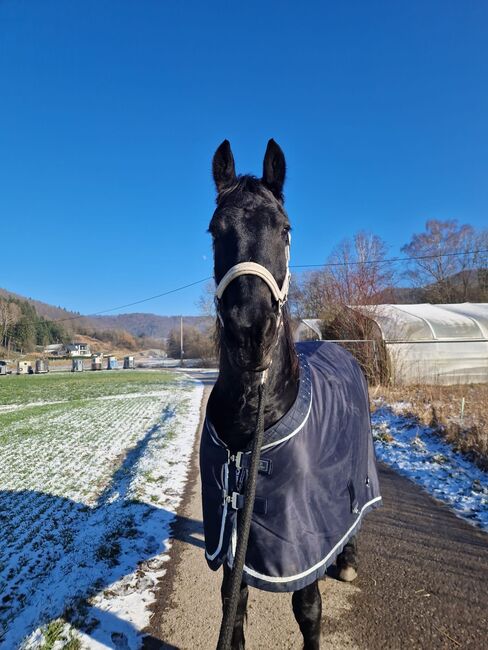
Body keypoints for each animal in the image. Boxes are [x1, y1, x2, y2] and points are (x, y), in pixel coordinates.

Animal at [199, 140, 382, 648]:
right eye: (215, 230)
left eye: (284, 229)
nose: (250, 331)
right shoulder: (233, 539)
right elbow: (234, 613)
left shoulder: (301, 543)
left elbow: (309, 611)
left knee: (355, 511)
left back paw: (349, 558)